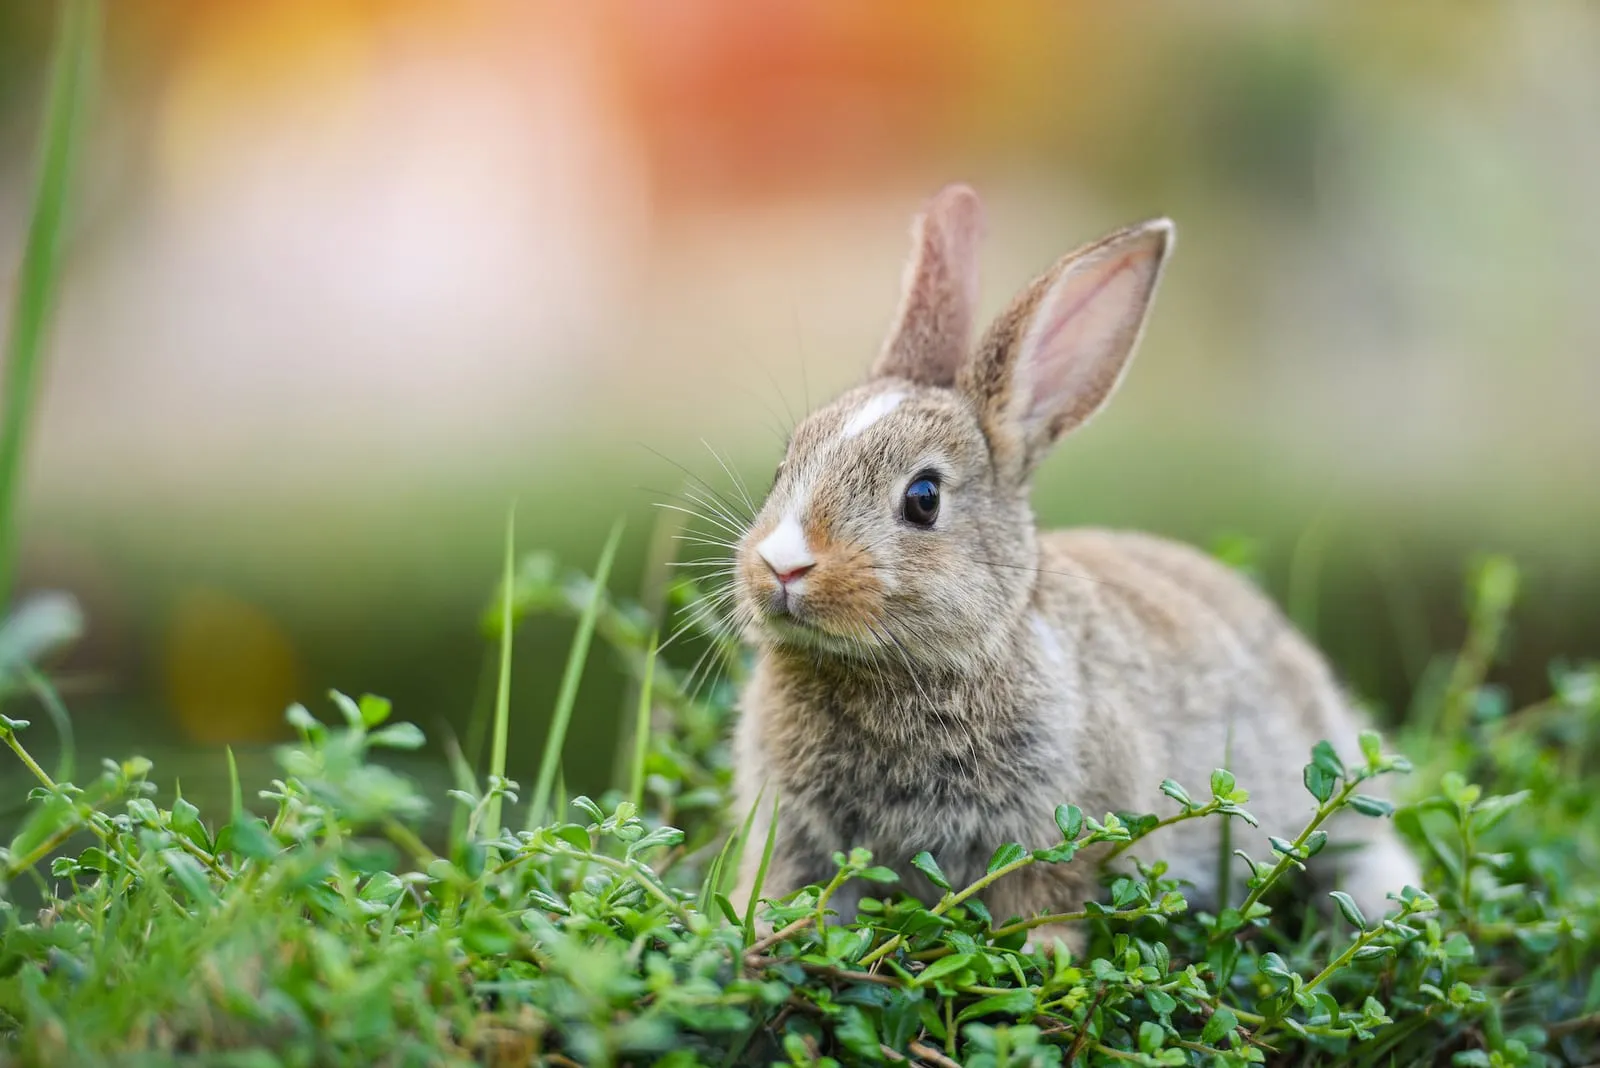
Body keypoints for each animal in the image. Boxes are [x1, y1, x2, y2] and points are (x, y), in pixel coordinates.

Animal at [725, 184, 1419, 952]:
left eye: (923, 498)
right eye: (784, 465)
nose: (783, 566)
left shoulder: (1060, 834)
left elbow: (1050, 900)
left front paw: (1041, 955)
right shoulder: (798, 839)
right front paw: (757, 929)